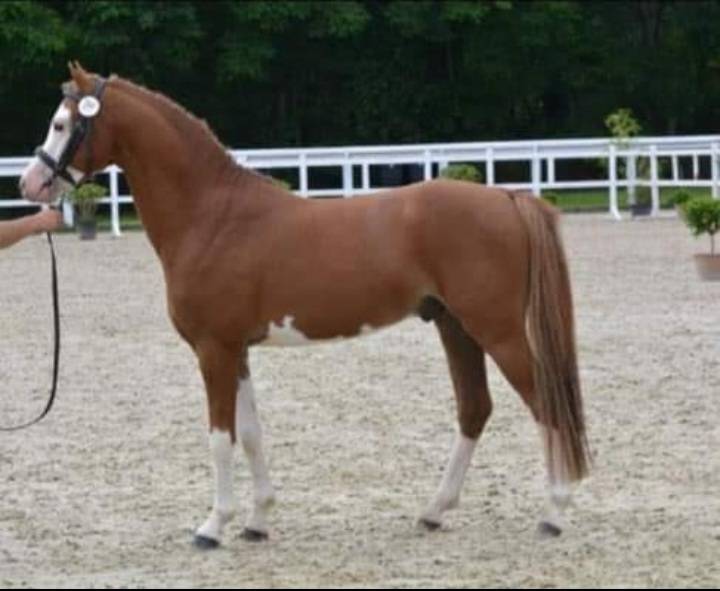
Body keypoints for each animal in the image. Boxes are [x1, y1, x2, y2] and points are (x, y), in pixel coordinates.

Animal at [20, 63, 589, 549]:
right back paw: (433, 511)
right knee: (475, 408)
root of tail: (507, 197)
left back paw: (555, 513)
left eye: (61, 123)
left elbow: (220, 438)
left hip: (497, 331)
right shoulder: (236, 350)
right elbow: (251, 434)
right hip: (456, 327)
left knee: (544, 404)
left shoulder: (213, 350)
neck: (212, 216)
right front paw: (256, 521)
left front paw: (212, 526)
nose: (30, 183)